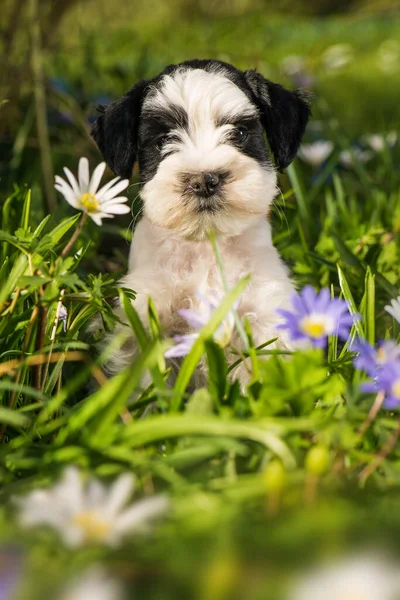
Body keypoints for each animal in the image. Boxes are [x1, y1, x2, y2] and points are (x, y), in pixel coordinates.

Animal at [92, 59, 310, 380]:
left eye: (239, 133)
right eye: (163, 140)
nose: (204, 181)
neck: (206, 246)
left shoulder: (266, 316)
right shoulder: (143, 324)